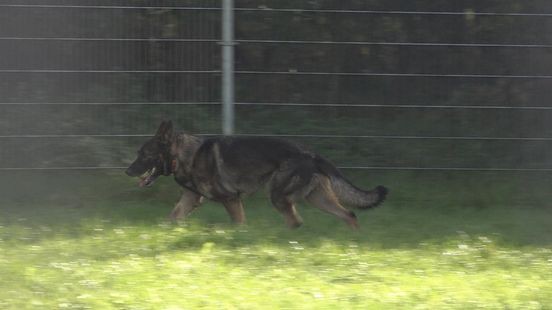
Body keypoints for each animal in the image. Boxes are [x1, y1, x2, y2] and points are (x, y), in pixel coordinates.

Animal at [125, 120, 388, 228]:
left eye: (143, 154)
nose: (127, 171)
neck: (184, 154)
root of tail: (311, 154)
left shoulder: (230, 199)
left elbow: (239, 223)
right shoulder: (191, 199)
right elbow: (171, 218)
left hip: (279, 196)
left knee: (296, 221)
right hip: (316, 198)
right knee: (349, 215)